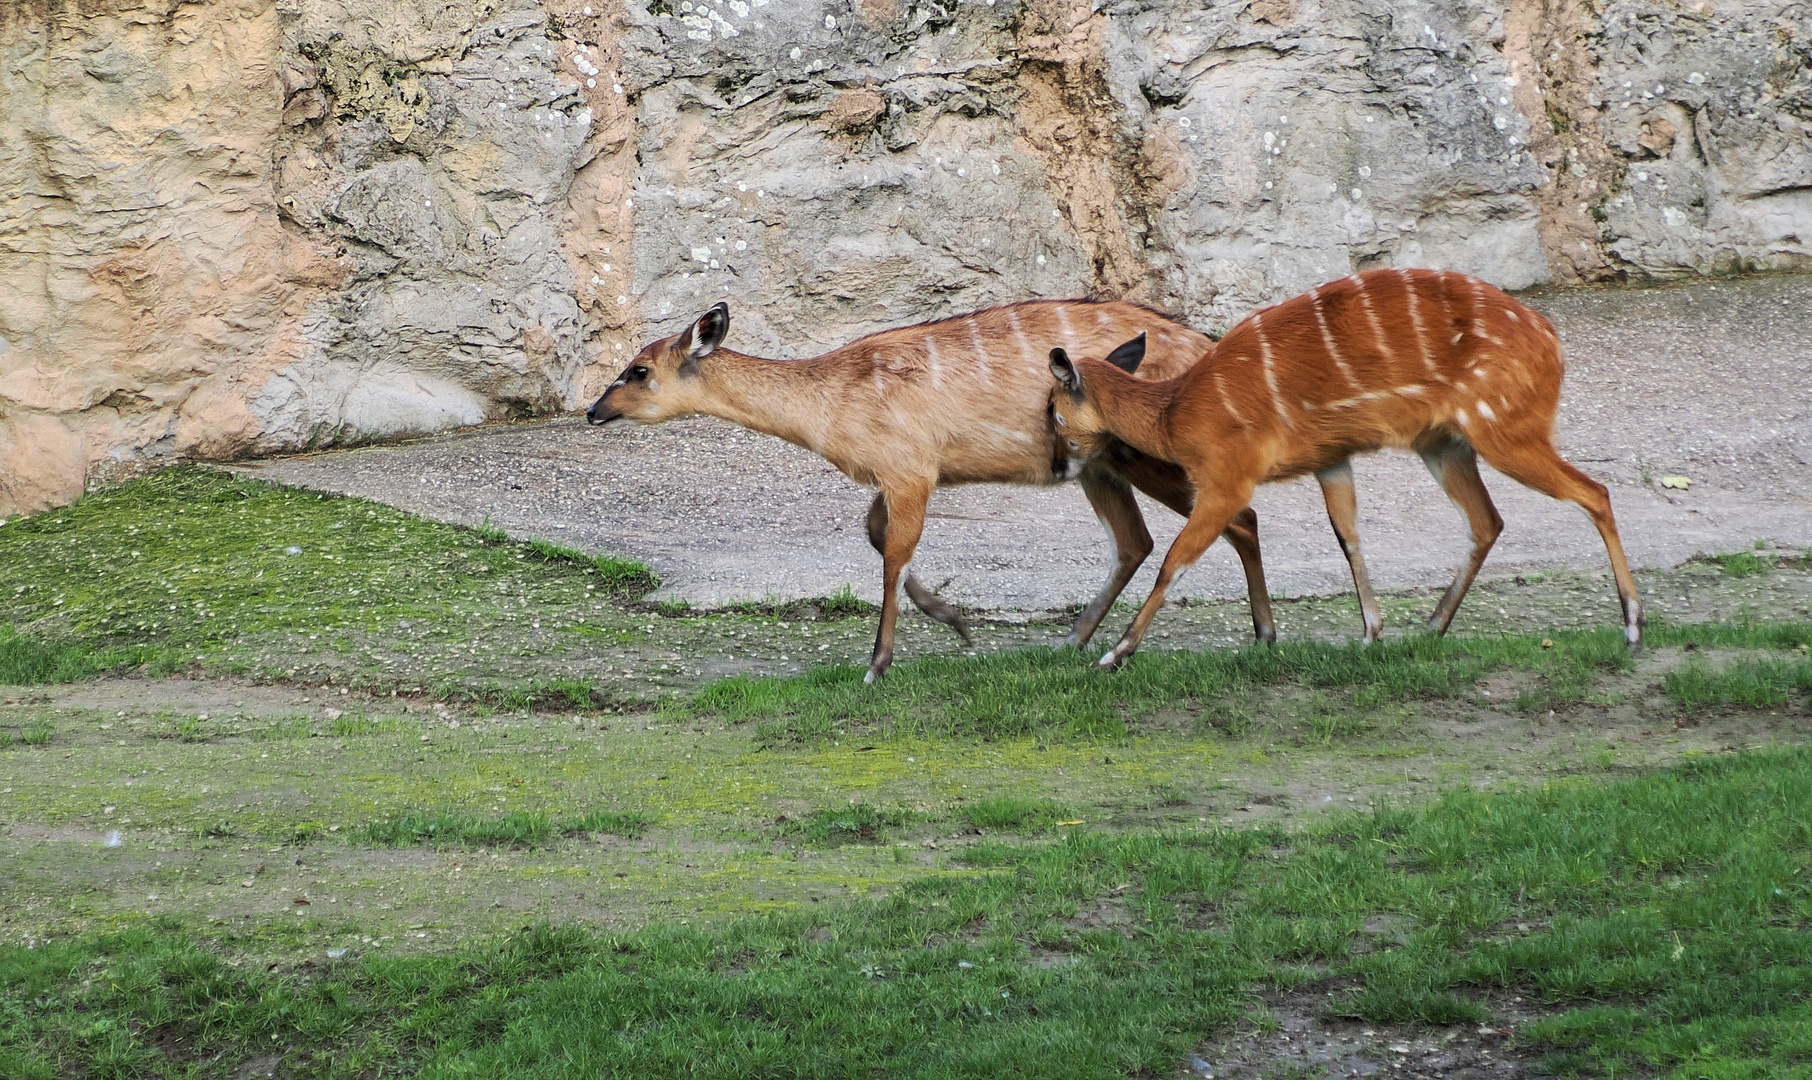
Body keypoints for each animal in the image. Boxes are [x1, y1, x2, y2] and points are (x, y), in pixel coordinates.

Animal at [587, 298, 1282, 677]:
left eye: (638, 370)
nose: (594, 411)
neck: (833, 405)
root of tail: (1203, 348)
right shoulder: (901, 474)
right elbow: (876, 536)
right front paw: (957, 621)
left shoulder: (910, 468)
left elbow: (892, 555)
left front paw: (877, 664)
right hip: (1099, 465)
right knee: (1140, 538)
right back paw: (1071, 641)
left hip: (1147, 452)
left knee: (1233, 516)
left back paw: (1262, 635)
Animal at [1050, 266, 1645, 670]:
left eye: (1053, 412)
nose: (1056, 465)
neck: (1176, 412)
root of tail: (1551, 342)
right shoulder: (1331, 459)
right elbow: (1348, 535)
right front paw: (1371, 633)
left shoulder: (1227, 476)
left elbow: (1176, 559)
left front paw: (1114, 654)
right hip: (1445, 444)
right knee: (1487, 520)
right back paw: (1431, 627)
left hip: (1504, 430)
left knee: (1595, 491)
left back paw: (1633, 625)